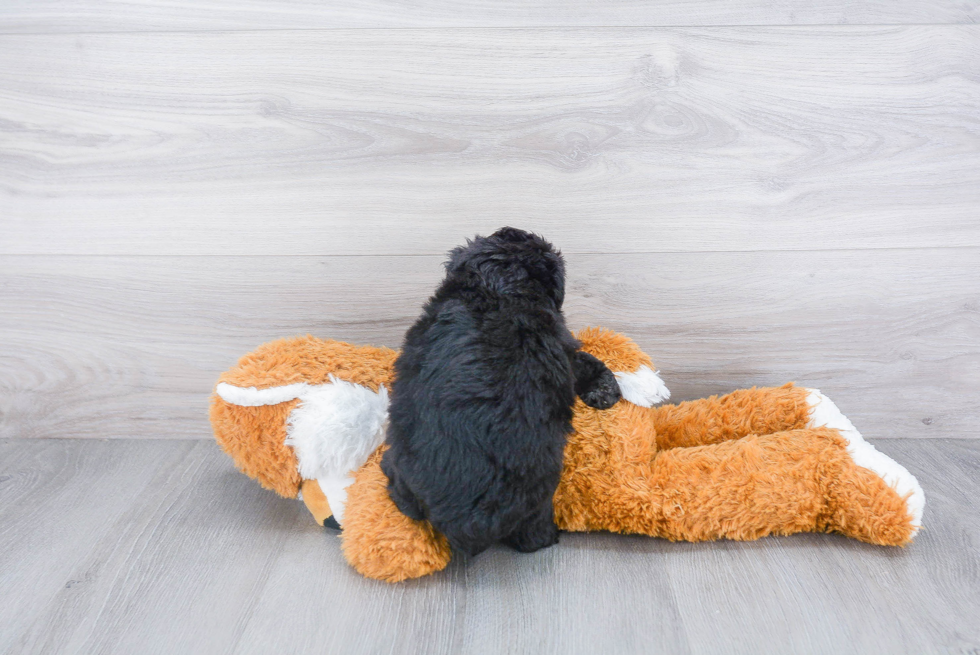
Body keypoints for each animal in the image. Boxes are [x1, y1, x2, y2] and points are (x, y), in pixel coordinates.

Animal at [382, 228, 620, 556]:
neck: (499, 289)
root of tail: (468, 521)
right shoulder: (563, 346)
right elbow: (584, 360)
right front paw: (606, 389)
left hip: (402, 454)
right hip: (540, 491)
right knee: (534, 536)